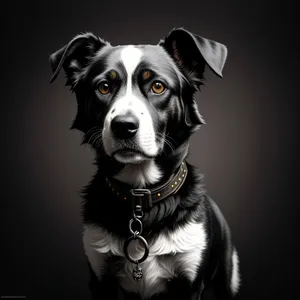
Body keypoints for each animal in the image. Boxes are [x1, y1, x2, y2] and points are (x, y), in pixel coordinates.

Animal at [49, 28, 241, 300]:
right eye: (104, 87)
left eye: (158, 86)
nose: (123, 126)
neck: (140, 197)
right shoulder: (100, 278)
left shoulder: (190, 282)